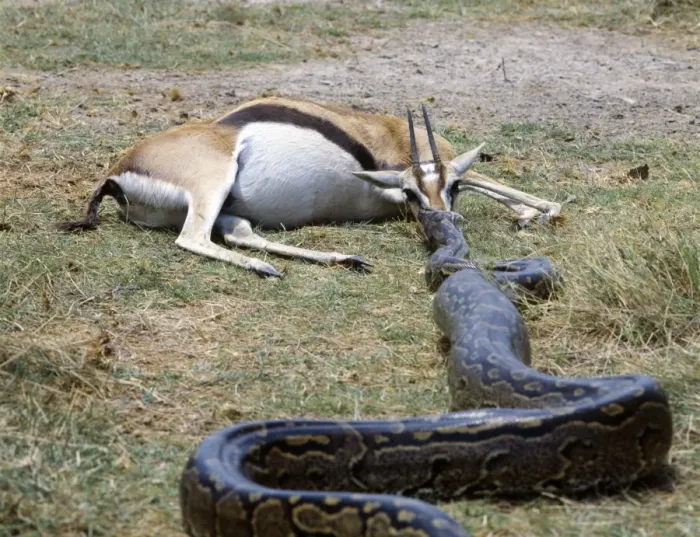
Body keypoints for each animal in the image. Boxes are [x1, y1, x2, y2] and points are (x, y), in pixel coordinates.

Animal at [59, 96, 561, 277]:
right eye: (411, 193)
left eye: (448, 187)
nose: (440, 220)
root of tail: (116, 171)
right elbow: (494, 180)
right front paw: (536, 213)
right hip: (212, 185)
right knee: (193, 238)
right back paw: (266, 270)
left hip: (230, 207)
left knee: (238, 233)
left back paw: (346, 259)